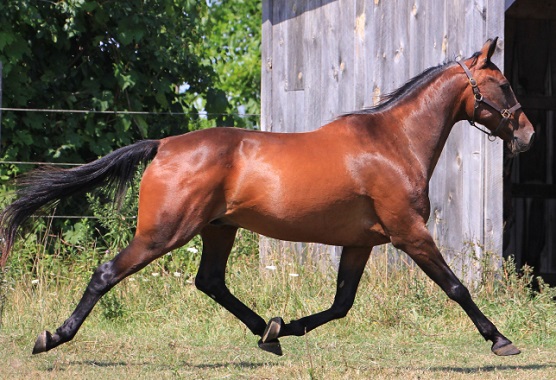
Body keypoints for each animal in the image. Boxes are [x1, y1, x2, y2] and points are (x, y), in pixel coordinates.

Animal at [0, 38, 536, 356]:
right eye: (504, 84)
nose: (528, 135)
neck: (392, 142)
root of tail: (164, 144)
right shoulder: (409, 233)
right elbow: (457, 287)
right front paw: (501, 340)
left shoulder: (361, 243)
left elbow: (341, 304)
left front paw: (286, 326)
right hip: (164, 232)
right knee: (107, 272)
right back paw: (52, 337)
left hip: (218, 229)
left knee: (211, 282)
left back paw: (267, 333)